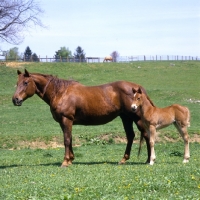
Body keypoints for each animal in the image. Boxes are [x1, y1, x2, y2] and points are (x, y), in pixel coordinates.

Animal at [12, 69, 153, 166]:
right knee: (130, 136)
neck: (60, 92)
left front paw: (65, 161)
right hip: (126, 118)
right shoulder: (64, 122)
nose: (15, 100)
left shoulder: (66, 120)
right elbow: (69, 139)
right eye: (17, 83)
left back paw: (148, 160)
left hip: (136, 118)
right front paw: (71, 159)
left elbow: (66, 140)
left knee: (146, 135)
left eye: (26, 82)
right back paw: (124, 159)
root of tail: (138, 90)